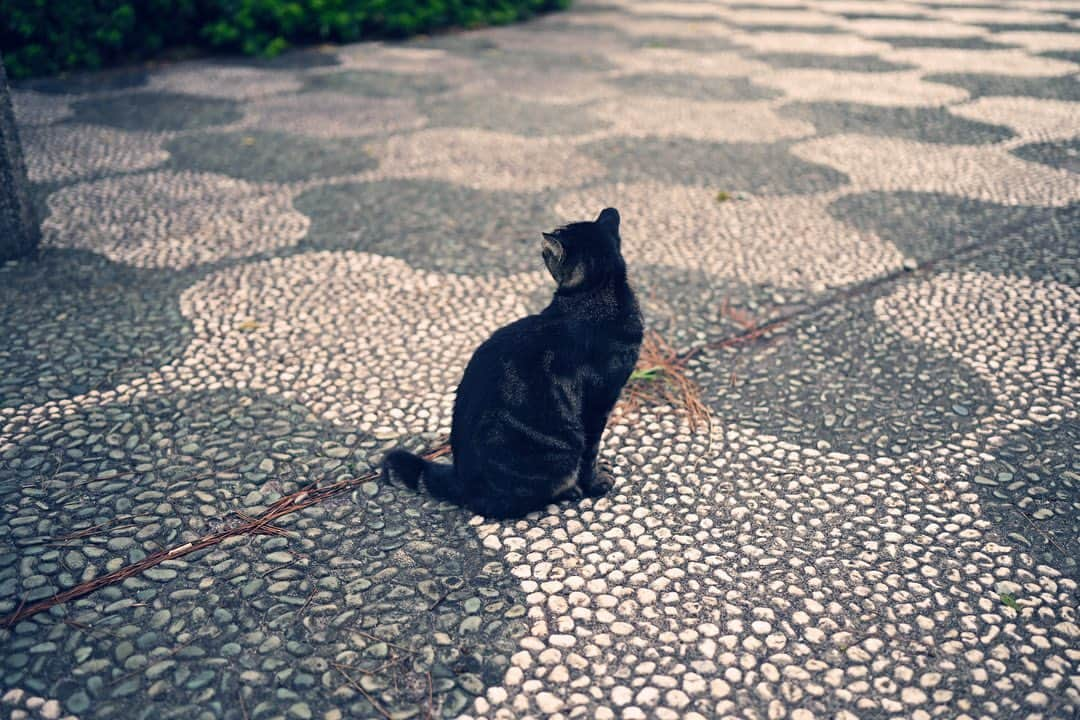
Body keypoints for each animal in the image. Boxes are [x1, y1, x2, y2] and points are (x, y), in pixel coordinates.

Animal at [384, 208, 639, 518]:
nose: (540, 248)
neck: (598, 294)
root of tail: (462, 482)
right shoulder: (598, 405)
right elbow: (590, 455)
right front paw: (596, 483)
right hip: (560, 452)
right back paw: (569, 491)